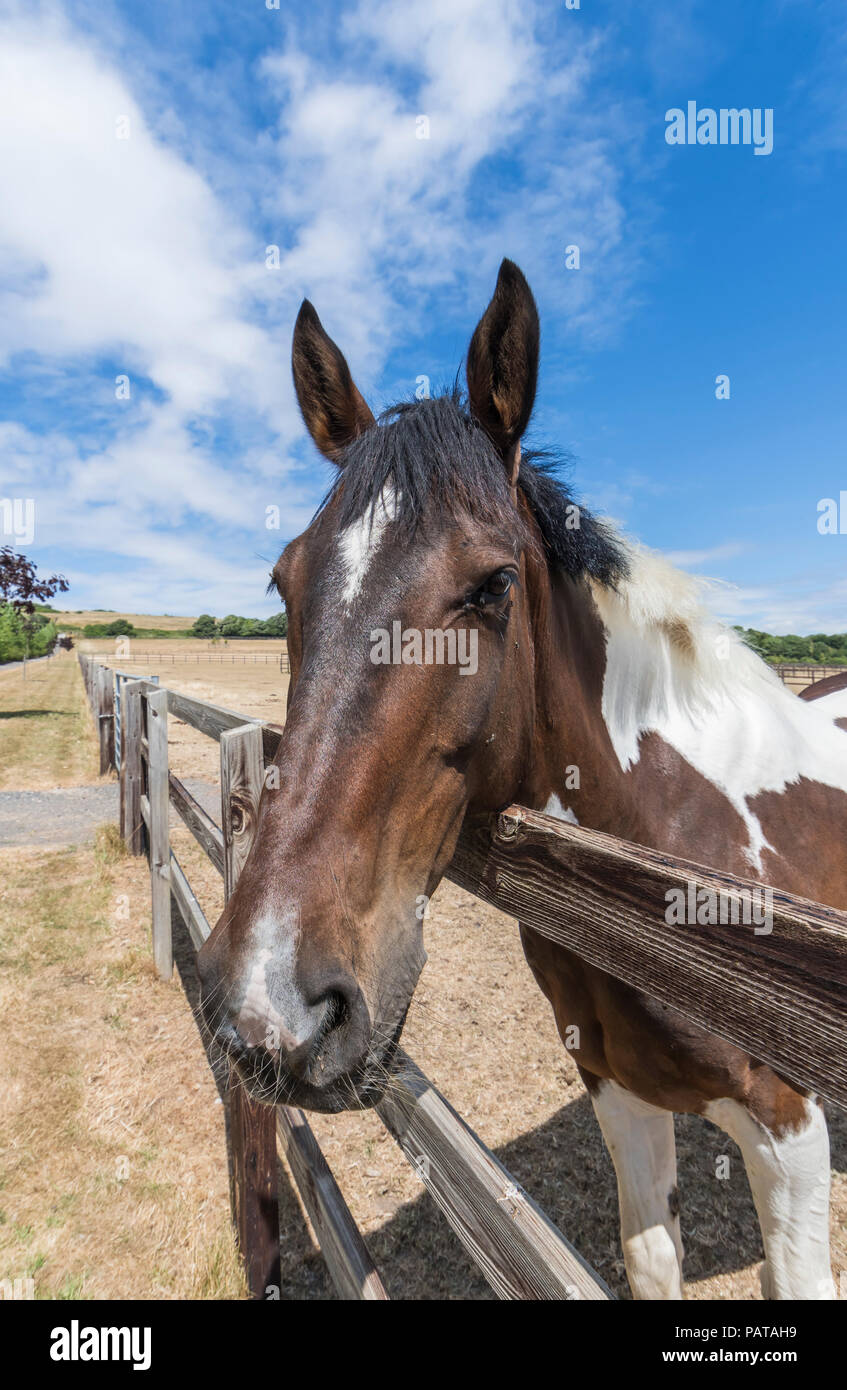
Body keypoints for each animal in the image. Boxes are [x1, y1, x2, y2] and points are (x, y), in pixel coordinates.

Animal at [197, 260, 847, 1300]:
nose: (269, 1011)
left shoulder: (790, 1131)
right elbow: (648, 1257)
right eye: (284, 584)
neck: (665, 890)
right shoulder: (619, 1091)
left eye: (493, 585)